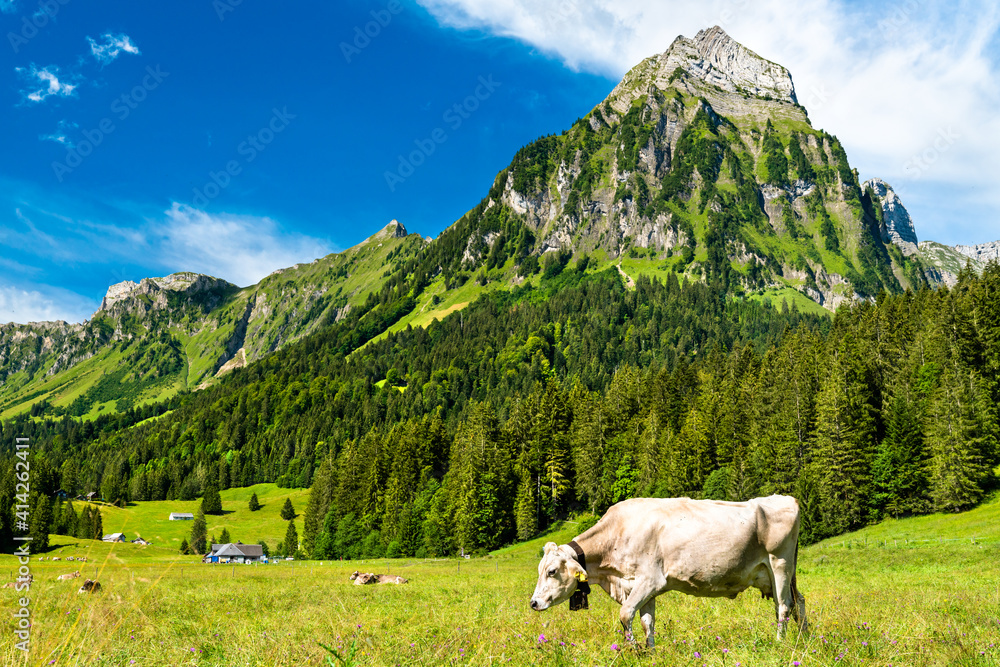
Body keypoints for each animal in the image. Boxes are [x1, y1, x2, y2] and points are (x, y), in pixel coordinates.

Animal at [532, 496, 804, 648]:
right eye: (540, 570)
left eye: (552, 571)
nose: (533, 603)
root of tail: (787, 498)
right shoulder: (640, 587)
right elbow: (647, 623)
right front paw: (650, 651)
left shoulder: (649, 580)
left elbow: (625, 614)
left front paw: (633, 649)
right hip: (781, 574)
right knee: (798, 601)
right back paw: (805, 636)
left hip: (779, 564)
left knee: (783, 607)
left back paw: (779, 643)